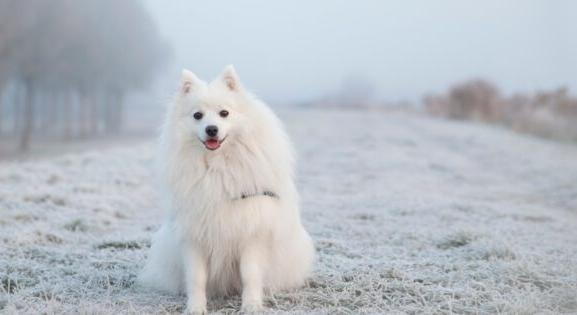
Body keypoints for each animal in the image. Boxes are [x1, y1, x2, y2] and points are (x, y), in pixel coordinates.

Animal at [137, 65, 312, 314]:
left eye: (224, 113)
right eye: (197, 115)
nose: (211, 129)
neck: (217, 167)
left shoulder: (252, 232)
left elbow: (250, 274)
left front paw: (251, 306)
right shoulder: (194, 236)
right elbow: (196, 278)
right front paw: (195, 308)